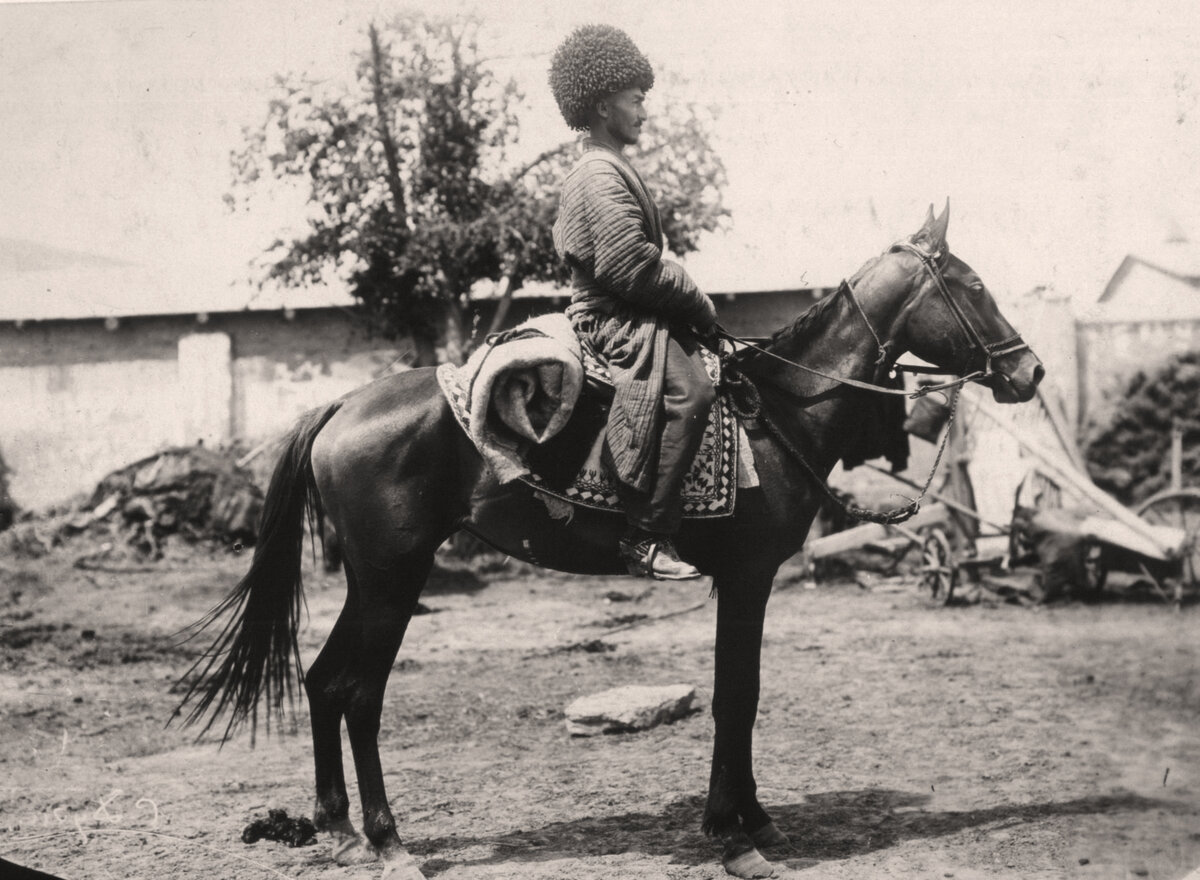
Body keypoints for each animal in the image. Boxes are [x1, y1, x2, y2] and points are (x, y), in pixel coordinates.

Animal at [177, 202, 1041, 873]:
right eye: (973, 286)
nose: (1028, 371)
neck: (780, 410)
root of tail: (340, 407)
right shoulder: (749, 576)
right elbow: (737, 696)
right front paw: (735, 837)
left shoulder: (744, 581)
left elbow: (741, 693)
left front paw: (751, 817)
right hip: (394, 578)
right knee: (359, 693)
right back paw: (388, 842)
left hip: (370, 580)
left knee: (324, 681)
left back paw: (338, 831)